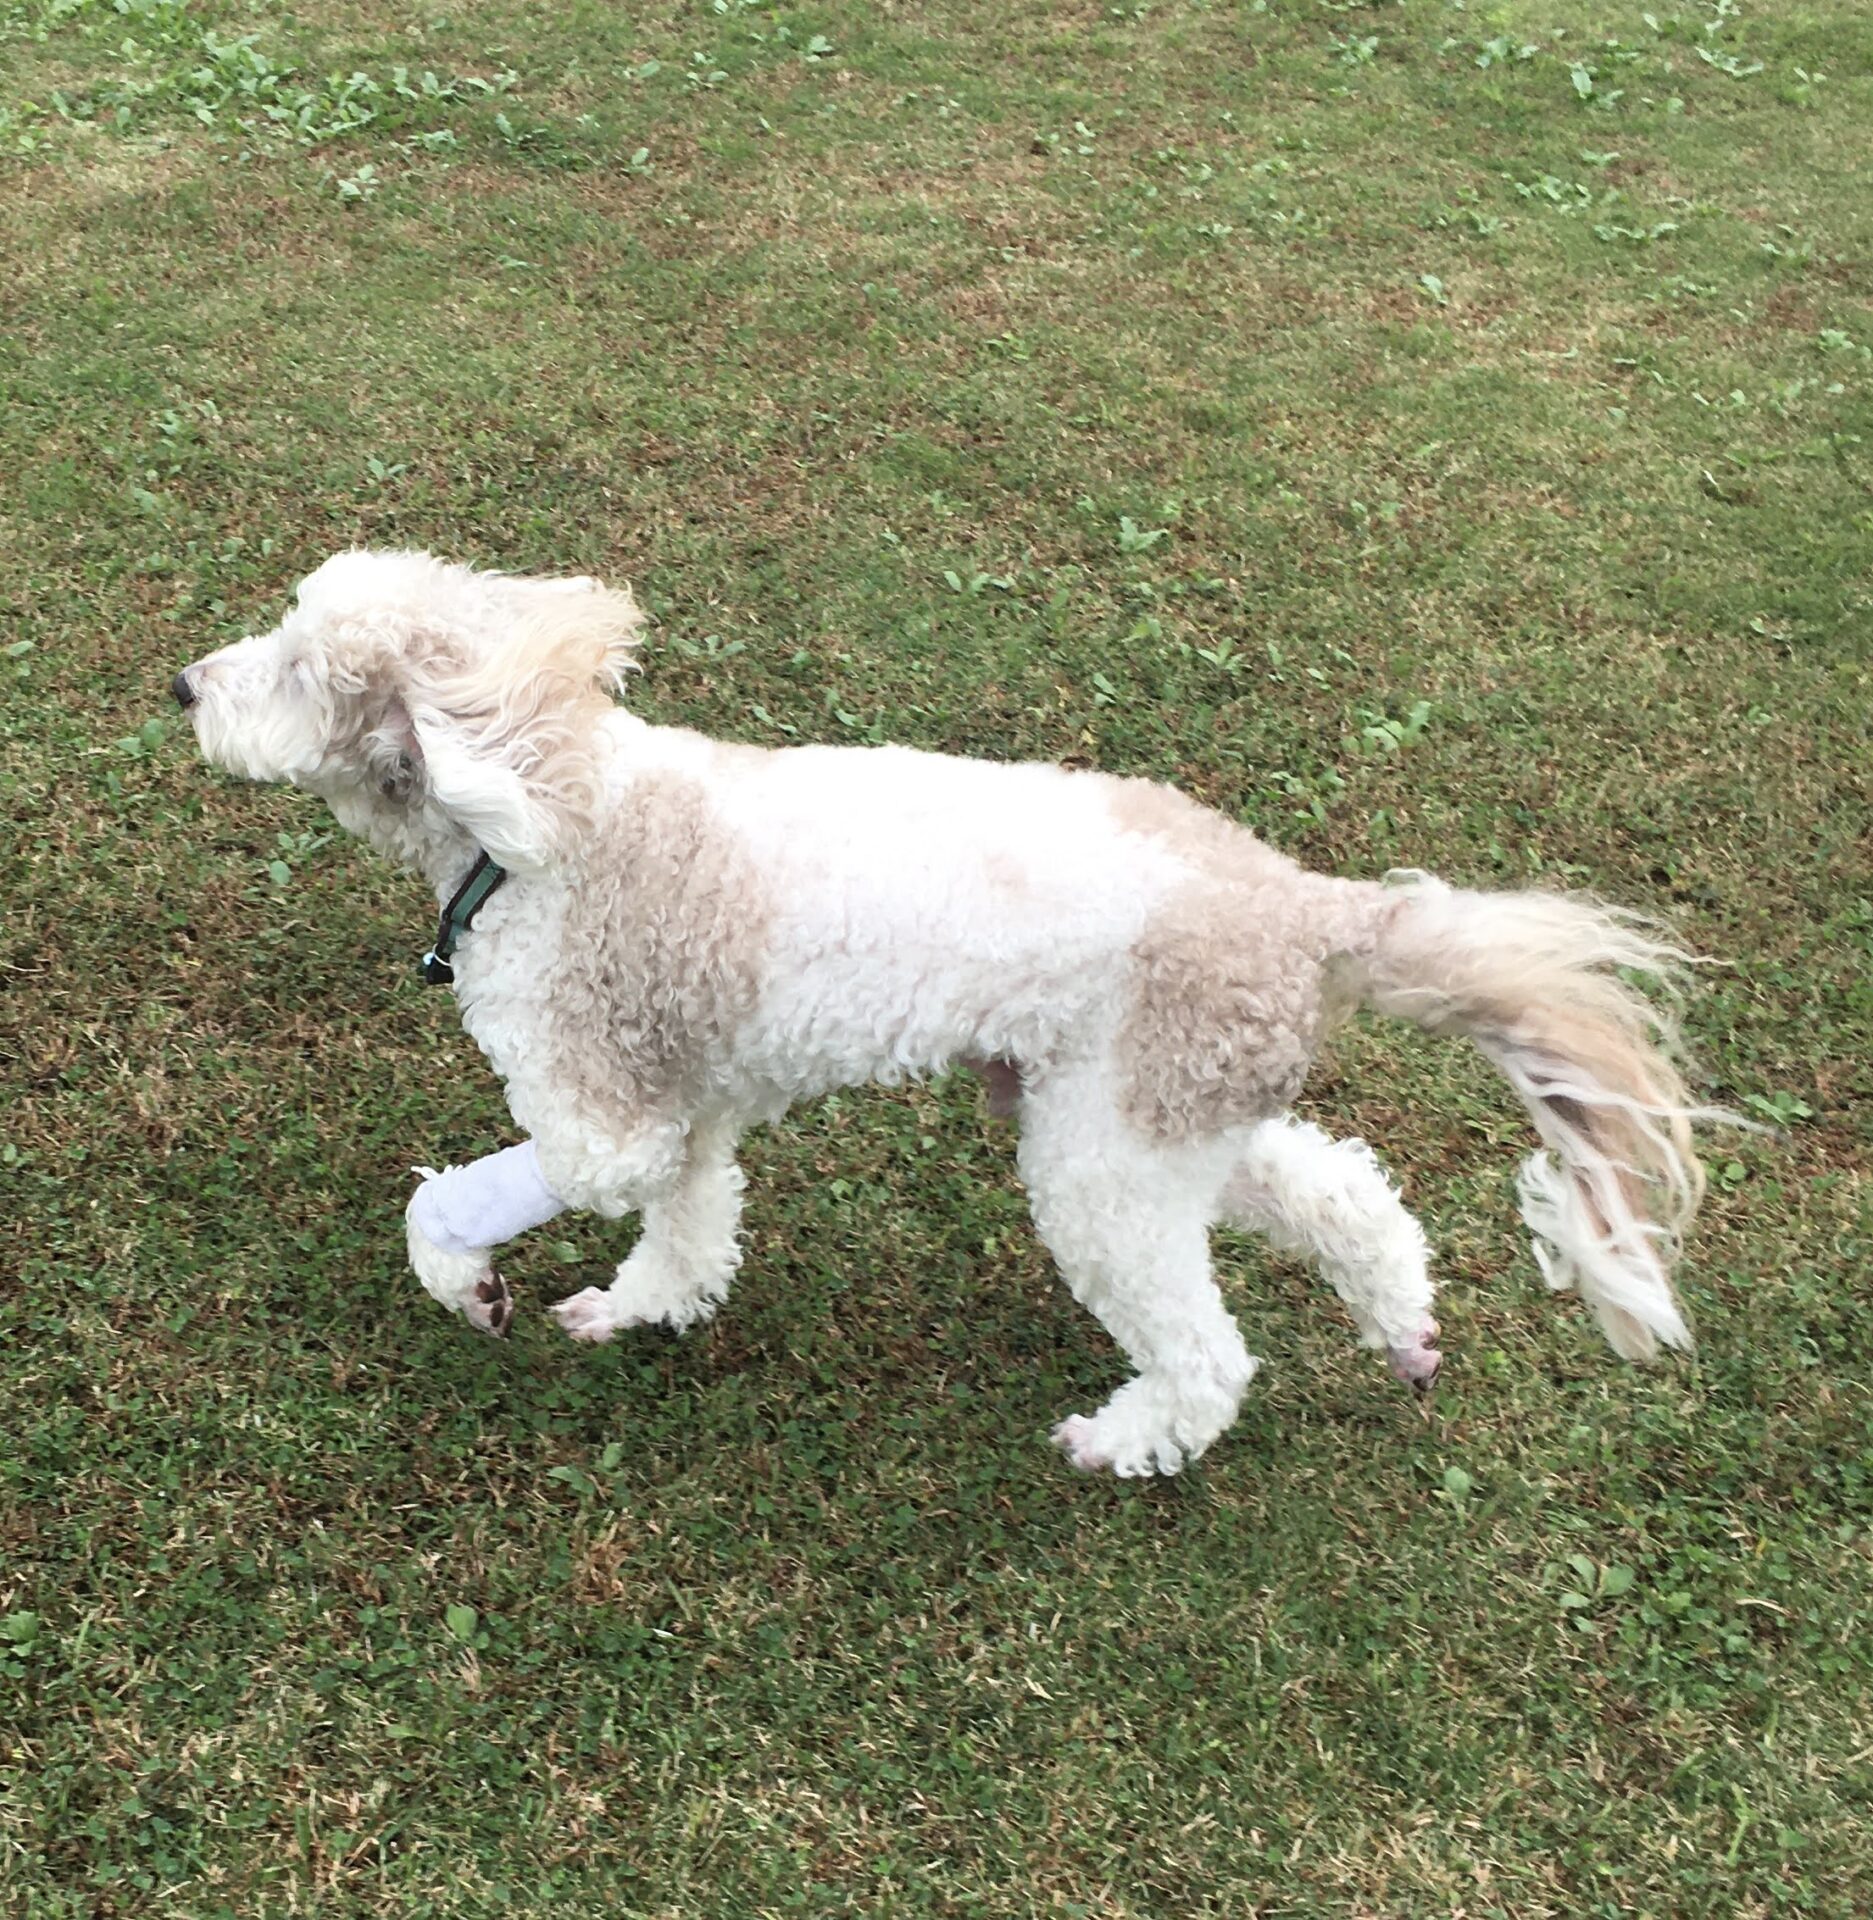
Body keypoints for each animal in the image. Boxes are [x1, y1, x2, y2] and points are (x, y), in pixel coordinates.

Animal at [176, 549, 1719, 1475]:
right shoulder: (688, 1111)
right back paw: (1401, 1329)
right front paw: (636, 1310)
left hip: (1103, 1161)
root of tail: (1302, 905)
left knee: (1210, 1350)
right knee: (1344, 1194)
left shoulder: (599, 1115)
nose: (186, 683)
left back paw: (1125, 1441)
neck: (547, 805)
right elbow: (690, 1234)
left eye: (306, 669)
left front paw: (471, 1286)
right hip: (1148, 1114)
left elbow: (449, 1202)